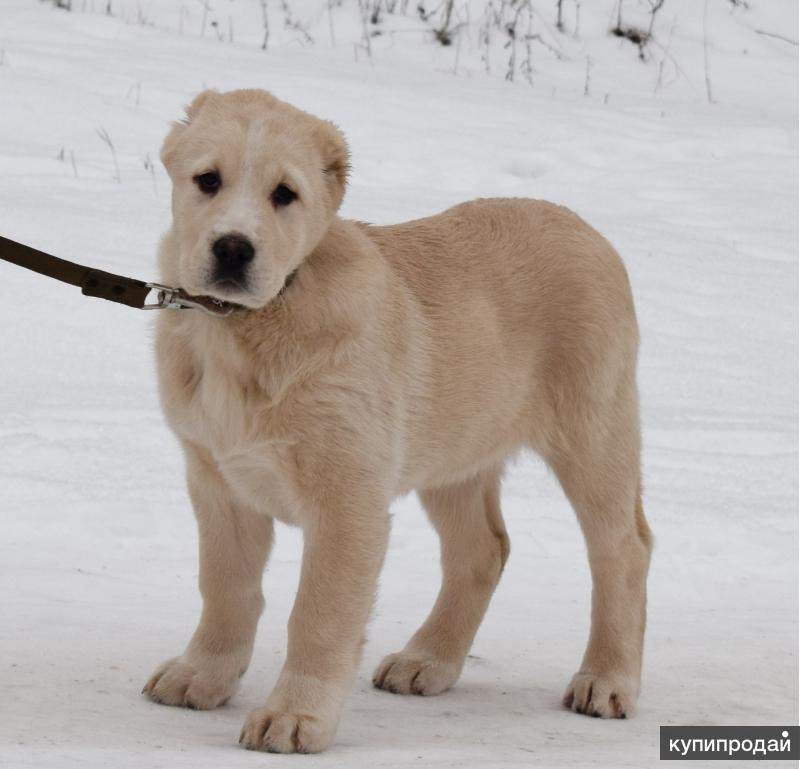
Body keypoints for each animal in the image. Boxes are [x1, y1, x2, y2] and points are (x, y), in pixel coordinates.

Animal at [144, 88, 652, 752]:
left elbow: (319, 614)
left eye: (285, 194)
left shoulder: (347, 499)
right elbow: (225, 587)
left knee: (624, 550)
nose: (233, 247)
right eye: (208, 180)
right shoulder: (218, 482)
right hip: (455, 451)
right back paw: (427, 661)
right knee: (483, 549)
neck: (251, 325)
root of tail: (586, 229)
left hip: (594, 432)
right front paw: (203, 674)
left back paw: (607, 679)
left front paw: (295, 716)